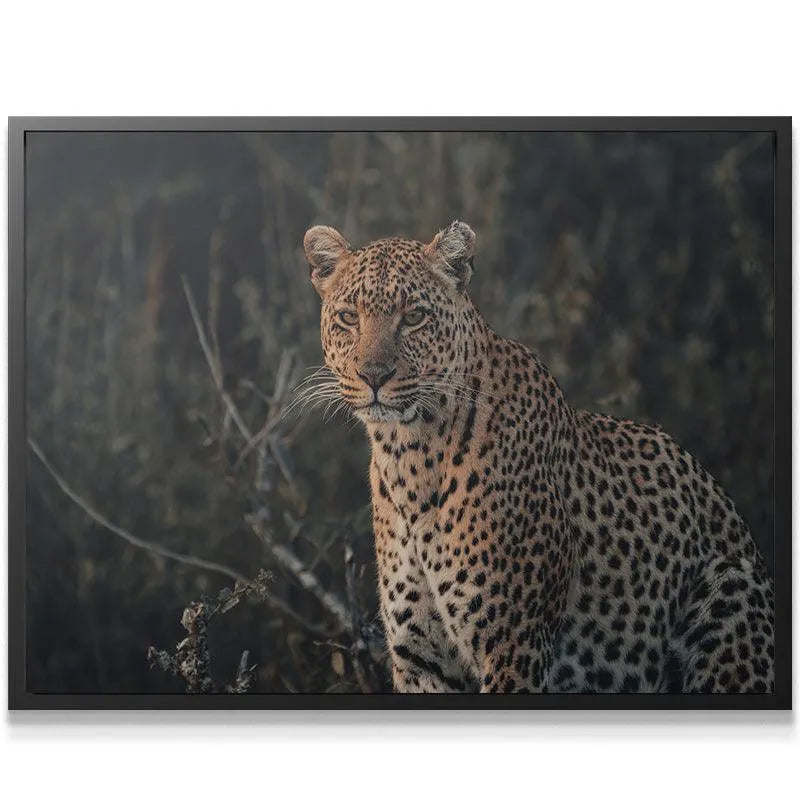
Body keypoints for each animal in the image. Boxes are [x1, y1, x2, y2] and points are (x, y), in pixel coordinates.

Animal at [302, 219, 775, 693]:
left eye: (414, 317)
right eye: (348, 317)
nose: (373, 376)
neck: (410, 456)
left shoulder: (515, 644)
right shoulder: (421, 660)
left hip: (730, 598)